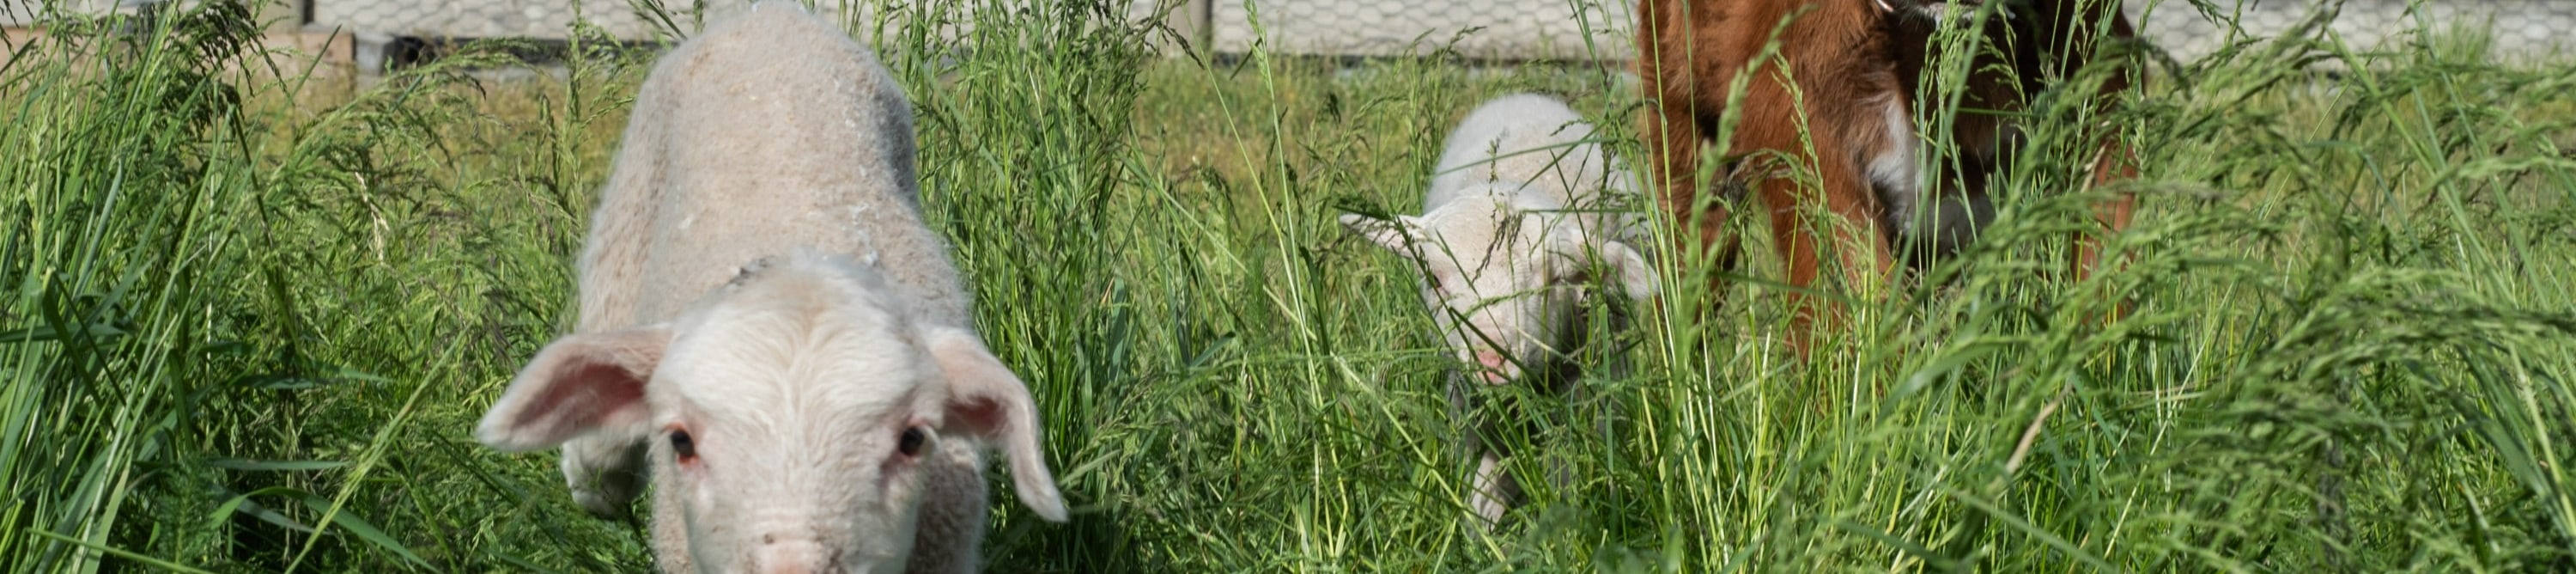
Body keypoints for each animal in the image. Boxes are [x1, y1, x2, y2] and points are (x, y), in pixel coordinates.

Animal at [1340, 95, 1659, 530]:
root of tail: (1527, 96)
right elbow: (1482, 484)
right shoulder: (1466, 397)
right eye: (1435, 279)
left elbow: (1564, 469)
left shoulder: (1588, 383)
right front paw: (1481, 532)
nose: (1491, 358)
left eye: (1553, 278)